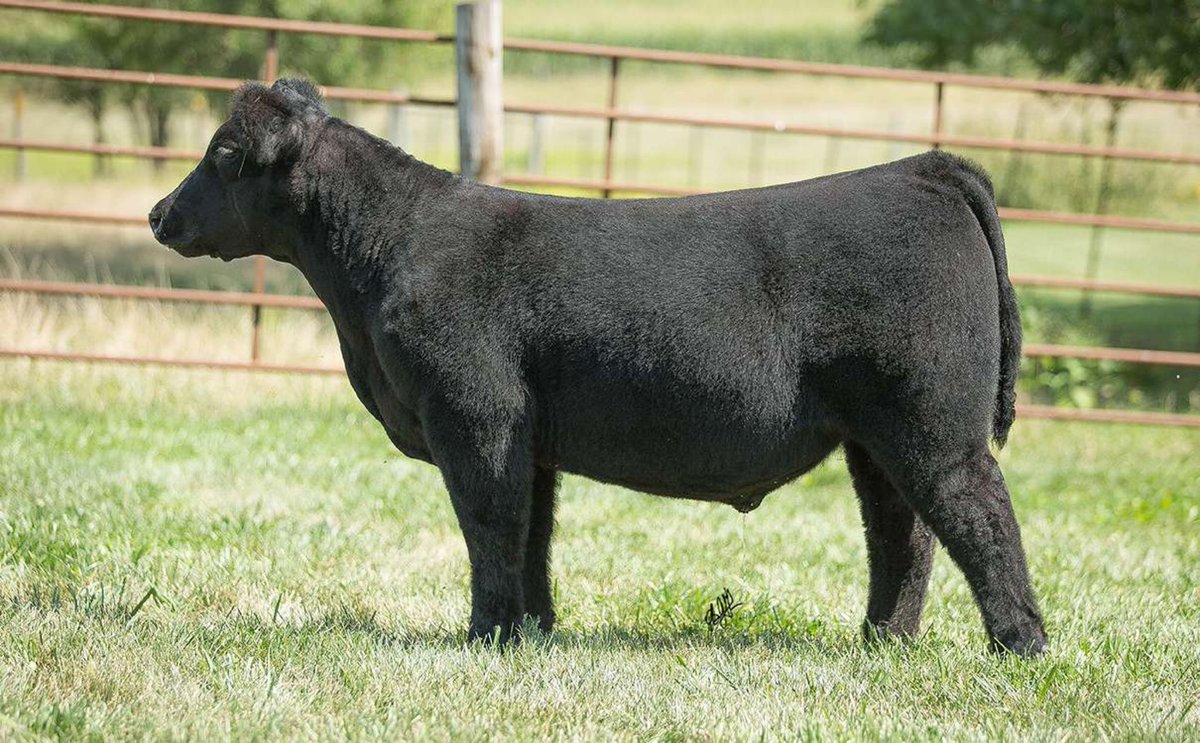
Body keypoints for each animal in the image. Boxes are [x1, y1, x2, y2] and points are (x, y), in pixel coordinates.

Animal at [149, 79, 1046, 656]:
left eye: (224, 153)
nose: (159, 214)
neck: (383, 257)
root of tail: (920, 167)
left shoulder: (474, 418)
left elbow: (490, 526)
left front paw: (484, 637)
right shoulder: (529, 437)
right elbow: (532, 534)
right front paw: (531, 633)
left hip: (931, 422)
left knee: (978, 515)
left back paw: (1020, 647)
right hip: (876, 434)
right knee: (903, 533)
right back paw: (883, 641)